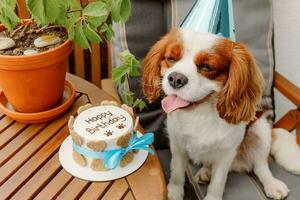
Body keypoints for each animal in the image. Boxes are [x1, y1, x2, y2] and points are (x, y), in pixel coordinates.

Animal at [142, 29, 296, 200]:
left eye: (206, 66)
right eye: (171, 58)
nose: (176, 78)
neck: (199, 112)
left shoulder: (226, 154)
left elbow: (218, 182)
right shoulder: (177, 145)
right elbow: (177, 173)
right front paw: (173, 192)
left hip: (260, 131)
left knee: (260, 167)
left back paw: (272, 184)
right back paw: (205, 172)